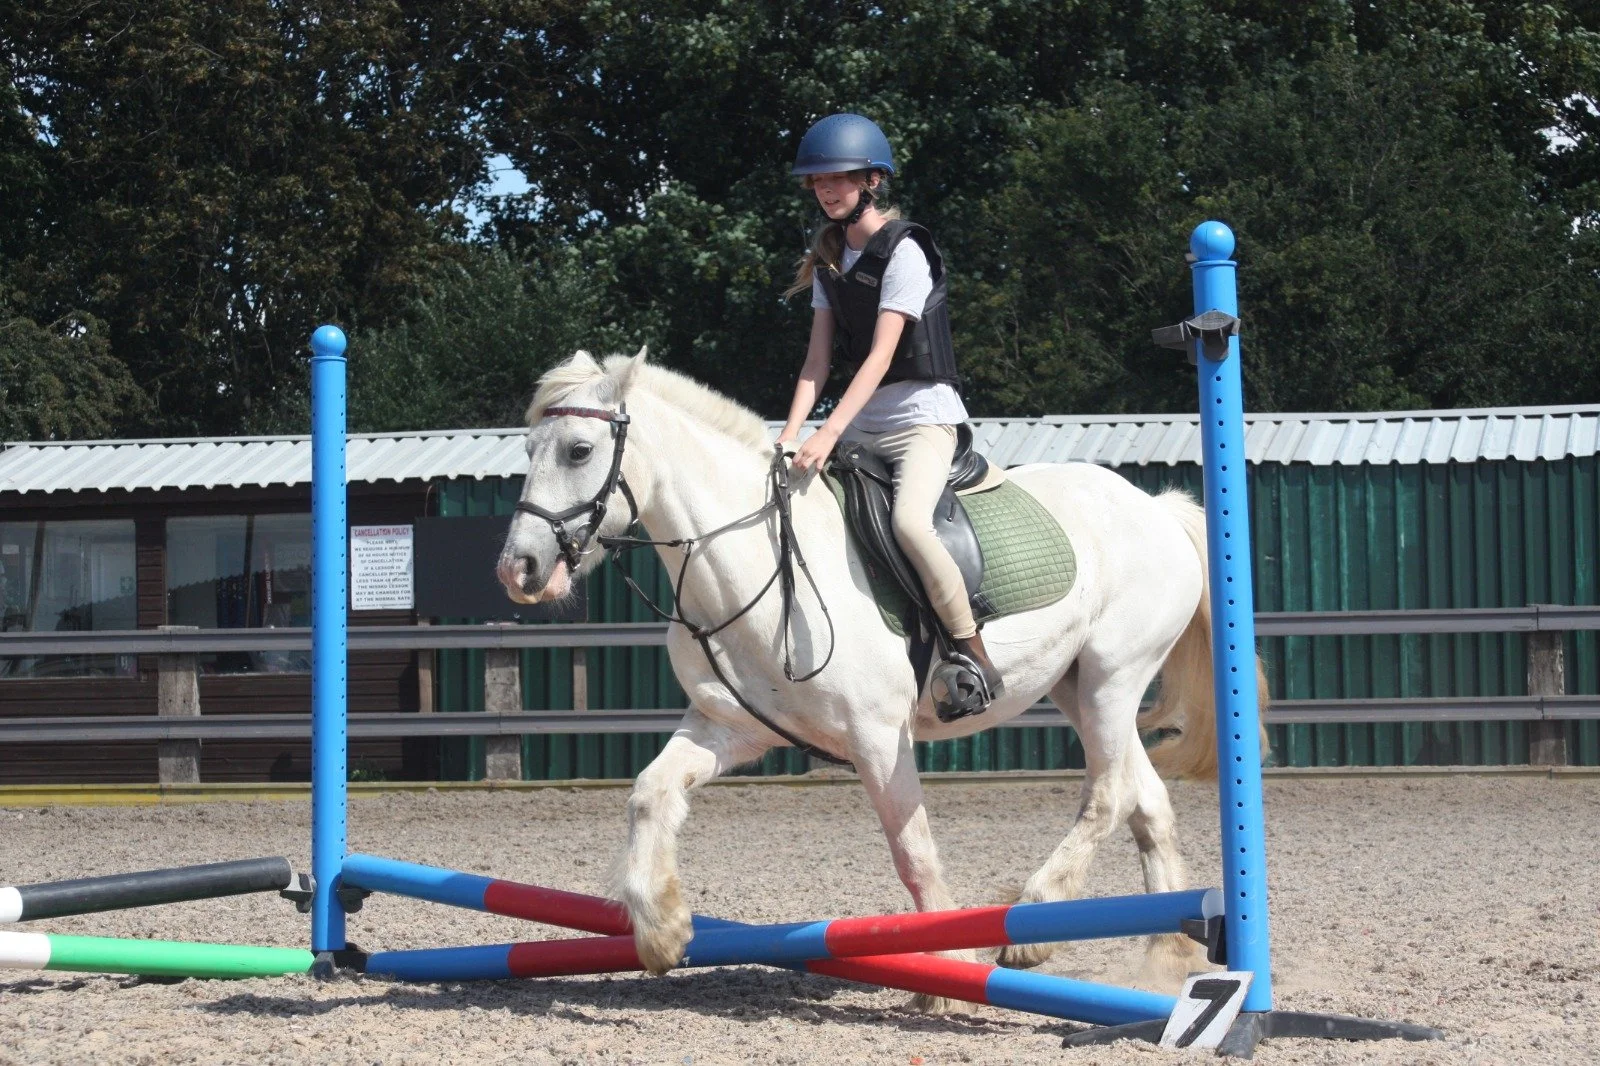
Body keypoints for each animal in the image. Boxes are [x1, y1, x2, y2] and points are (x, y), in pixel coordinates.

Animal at [497, 349, 1258, 1008]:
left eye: (578, 451)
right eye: (529, 451)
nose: (519, 570)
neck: (752, 562)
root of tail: (1156, 506)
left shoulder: (877, 737)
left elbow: (913, 851)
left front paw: (946, 970)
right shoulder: (729, 728)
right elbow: (650, 794)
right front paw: (661, 928)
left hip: (1111, 676)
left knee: (1107, 795)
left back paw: (1032, 925)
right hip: (1078, 686)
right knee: (1144, 798)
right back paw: (1169, 958)